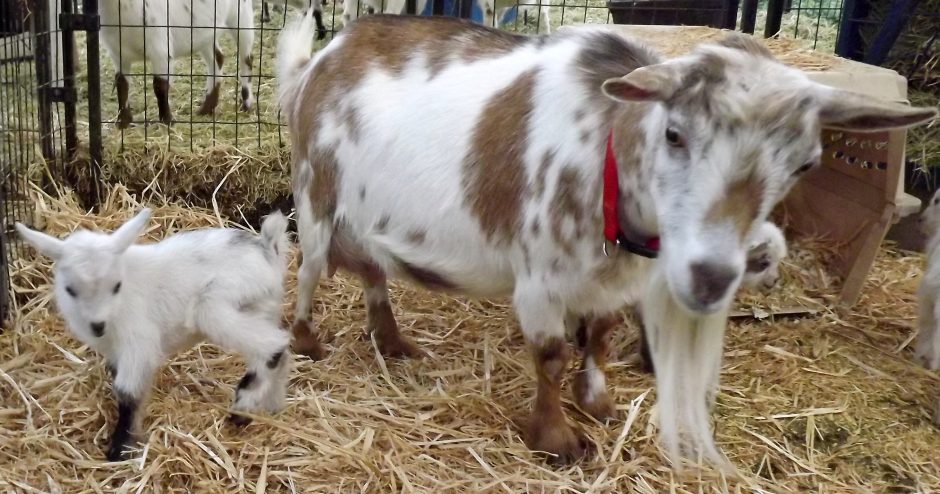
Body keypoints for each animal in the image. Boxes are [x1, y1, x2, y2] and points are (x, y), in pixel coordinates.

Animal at [15, 209, 292, 461]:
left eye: (116, 286)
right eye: (70, 290)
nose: (97, 326)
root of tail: (267, 248)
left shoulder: (138, 344)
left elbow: (127, 392)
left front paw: (120, 449)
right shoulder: (116, 351)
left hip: (216, 306)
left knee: (273, 346)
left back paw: (243, 405)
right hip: (263, 306)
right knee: (278, 348)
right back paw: (272, 405)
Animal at [100, 0, 256, 129]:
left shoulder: (160, 48)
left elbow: (160, 86)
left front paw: (167, 121)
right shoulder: (118, 54)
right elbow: (121, 84)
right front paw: (123, 122)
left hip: (242, 17)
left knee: (247, 59)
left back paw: (246, 105)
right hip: (205, 32)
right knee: (217, 58)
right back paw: (206, 108)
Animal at [276, 13, 937, 466]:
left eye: (805, 163)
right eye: (674, 133)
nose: (711, 276)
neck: (606, 159)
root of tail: (323, 57)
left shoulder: (616, 280)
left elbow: (599, 333)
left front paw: (596, 402)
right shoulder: (538, 280)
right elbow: (550, 354)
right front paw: (557, 439)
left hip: (366, 215)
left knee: (373, 272)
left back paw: (393, 343)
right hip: (315, 196)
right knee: (309, 272)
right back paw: (308, 340)